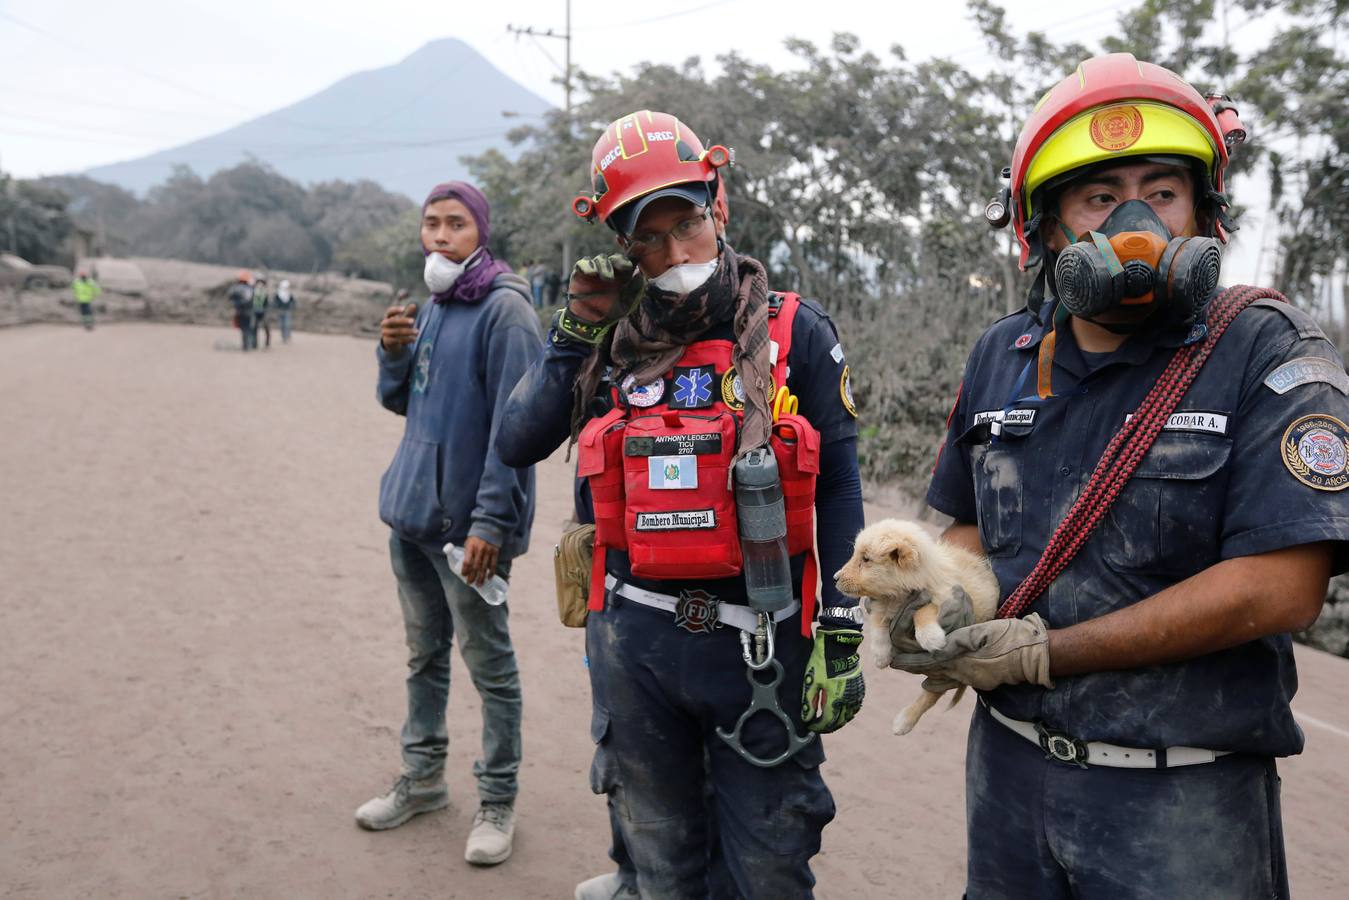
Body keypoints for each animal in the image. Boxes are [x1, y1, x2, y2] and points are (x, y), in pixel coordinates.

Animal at [830, 520, 1003, 734]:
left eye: (866, 559)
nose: (835, 578)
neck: (898, 594)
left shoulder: (944, 594)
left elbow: (924, 609)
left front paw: (930, 636)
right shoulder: (882, 603)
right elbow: (878, 622)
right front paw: (880, 654)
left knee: (933, 694)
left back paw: (904, 721)